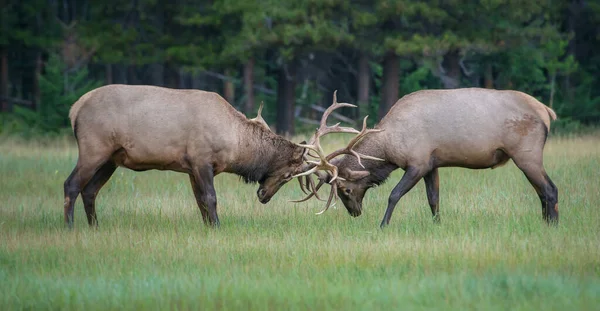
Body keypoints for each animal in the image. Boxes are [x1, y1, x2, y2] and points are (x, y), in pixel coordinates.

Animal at [64, 84, 310, 228]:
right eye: (288, 175)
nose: (264, 196)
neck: (235, 144)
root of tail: (75, 109)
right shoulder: (202, 160)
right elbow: (210, 197)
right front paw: (217, 227)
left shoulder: (192, 167)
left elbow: (200, 200)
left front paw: (208, 227)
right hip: (94, 149)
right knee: (71, 184)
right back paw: (70, 226)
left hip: (111, 159)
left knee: (90, 190)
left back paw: (94, 226)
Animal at [298, 88, 560, 229]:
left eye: (346, 189)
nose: (355, 213)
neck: (390, 146)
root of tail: (547, 111)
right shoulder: (432, 164)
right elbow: (433, 199)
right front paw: (437, 224)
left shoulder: (418, 162)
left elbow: (394, 194)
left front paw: (383, 225)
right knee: (542, 191)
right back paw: (545, 222)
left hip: (527, 154)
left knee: (550, 189)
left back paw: (553, 224)